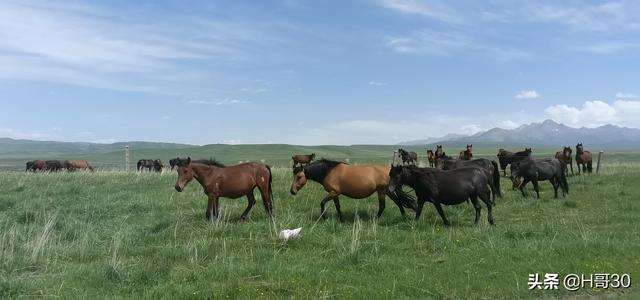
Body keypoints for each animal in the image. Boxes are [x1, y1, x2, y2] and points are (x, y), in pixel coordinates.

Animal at [288, 158, 416, 221]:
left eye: (299, 177)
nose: (292, 191)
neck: (328, 171)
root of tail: (390, 171)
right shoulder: (335, 194)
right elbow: (337, 206)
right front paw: (341, 219)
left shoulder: (333, 192)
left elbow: (322, 203)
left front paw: (324, 217)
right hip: (387, 191)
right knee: (398, 202)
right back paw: (404, 217)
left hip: (382, 191)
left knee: (383, 206)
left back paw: (375, 220)